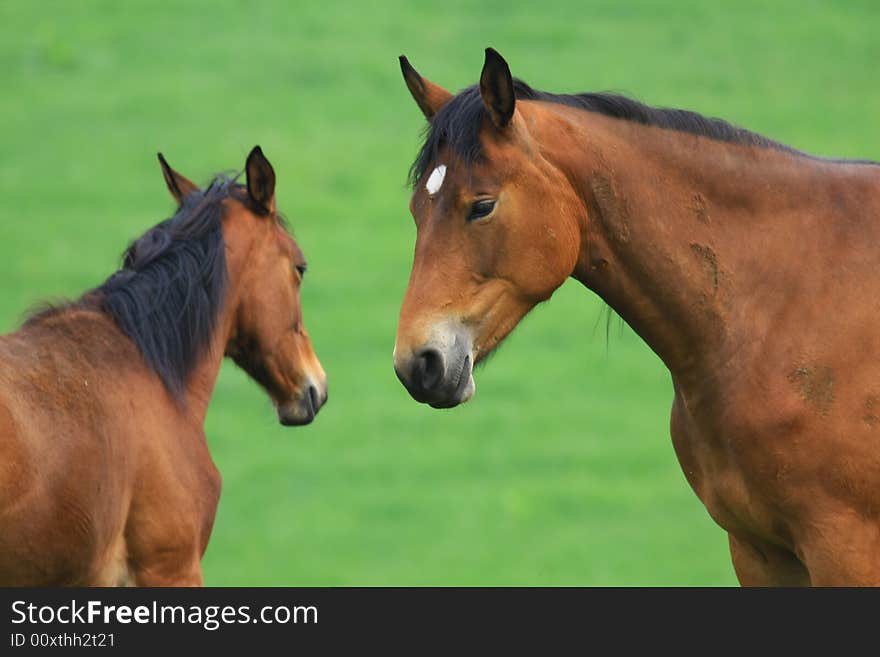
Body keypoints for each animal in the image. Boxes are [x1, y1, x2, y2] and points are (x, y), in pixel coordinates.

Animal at [396, 50, 880, 584]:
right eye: (417, 209)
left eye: (482, 206)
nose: (417, 363)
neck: (783, 303)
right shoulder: (759, 551)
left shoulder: (844, 549)